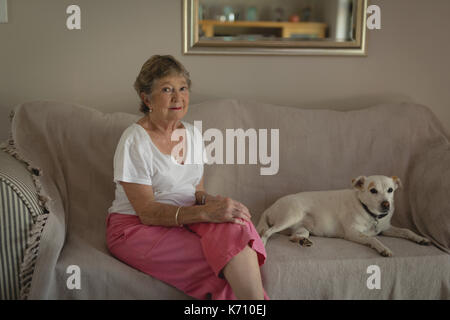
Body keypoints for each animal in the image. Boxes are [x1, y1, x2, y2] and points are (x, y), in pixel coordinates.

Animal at [256, 176, 428, 256]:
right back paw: (262, 244)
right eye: (373, 190)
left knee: (293, 237)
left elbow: (406, 230)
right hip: (290, 216)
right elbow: (373, 239)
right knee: (266, 231)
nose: (386, 204)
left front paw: (420, 238)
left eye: (390, 190)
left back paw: (302, 241)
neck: (370, 212)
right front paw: (383, 248)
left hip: (302, 229)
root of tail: (270, 207)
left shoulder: (386, 228)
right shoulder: (353, 233)